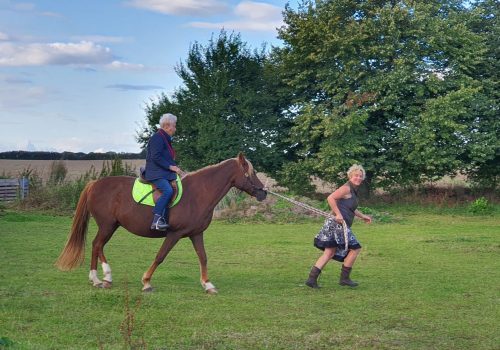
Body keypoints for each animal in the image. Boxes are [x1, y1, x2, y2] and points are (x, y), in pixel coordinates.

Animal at [55, 154, 268, 294]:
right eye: (252, 172)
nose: (263, 193)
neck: (198, 194)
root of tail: (94, 184)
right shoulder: (174, 234)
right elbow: (160, 256)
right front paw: (146, 282)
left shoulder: (196, 234)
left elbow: (203, 257)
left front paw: (207, 284)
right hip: (107, 226)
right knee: (97, 245)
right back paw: (103, 277)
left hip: (111, 226)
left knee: (96, 246)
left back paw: (98, 279)